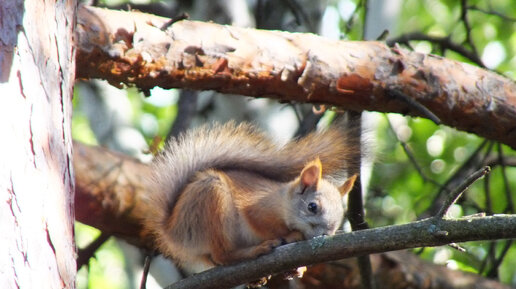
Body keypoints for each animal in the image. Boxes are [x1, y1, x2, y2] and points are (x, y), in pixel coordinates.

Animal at [143, 120, 356, 272]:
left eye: (341, 216)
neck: (281, 202)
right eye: (312, 207)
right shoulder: (257, 209)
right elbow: (264, 225)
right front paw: (291, 235)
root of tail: (172, 231)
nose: (325, 234)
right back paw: (256, 249)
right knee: (223, 255)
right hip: (212, 200)